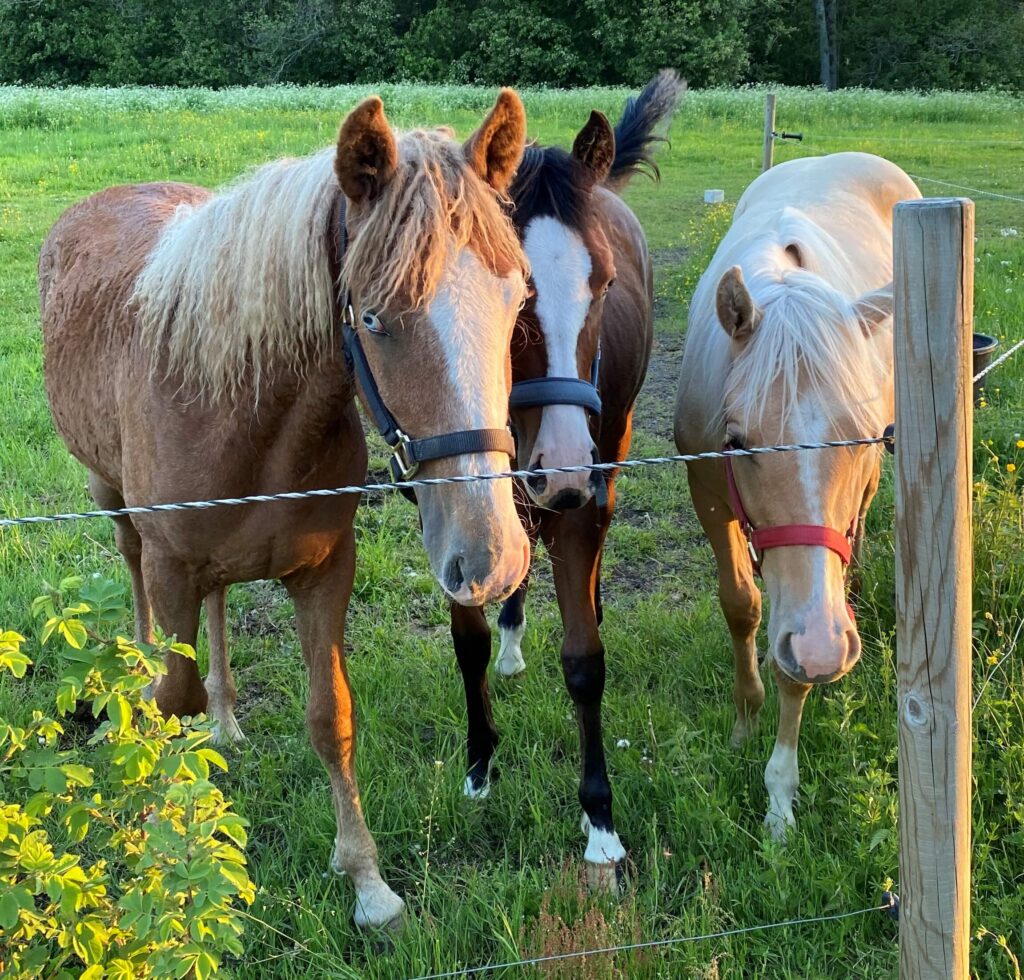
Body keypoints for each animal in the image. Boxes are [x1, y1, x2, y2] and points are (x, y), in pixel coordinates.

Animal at [37, 91, 536, 925]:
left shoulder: (325, 571)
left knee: (219, 603)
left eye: (518, 296)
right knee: (132, 569)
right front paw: (167, 858)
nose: (491, 559)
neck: (241, 408)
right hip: (110, 498)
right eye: (372, 319)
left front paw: (367, 880)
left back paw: (229, 718)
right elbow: (173, 698)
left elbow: (331, 717)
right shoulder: (173, 566)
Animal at [452, 67, 684, 888]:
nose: (560, 467)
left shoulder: (582, 502)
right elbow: (468, 641)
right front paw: (480, 765)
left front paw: (601, 824)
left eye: (605, 284)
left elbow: (585, 664)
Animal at [671, 151, 921, 835]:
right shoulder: (708, 496)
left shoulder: (813, 604)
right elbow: (743, 607)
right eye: (736, 440)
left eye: (864, 438)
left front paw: (780, 791)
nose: (825, 646)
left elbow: (798, 664)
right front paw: (744, 719)